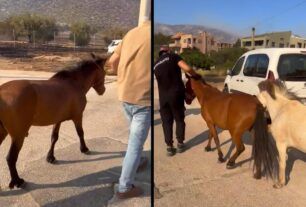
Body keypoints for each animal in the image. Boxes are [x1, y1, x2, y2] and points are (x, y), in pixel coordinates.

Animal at [0, 53, 107, 188]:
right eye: (105, 73)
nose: (103, 91)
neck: (74, 83)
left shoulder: (58, 120)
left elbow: (54, 138)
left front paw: (50, 157)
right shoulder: (78, 116)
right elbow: (80, 133)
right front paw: (84, 149)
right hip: (18, 137)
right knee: (11, 158)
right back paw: (17, 181)